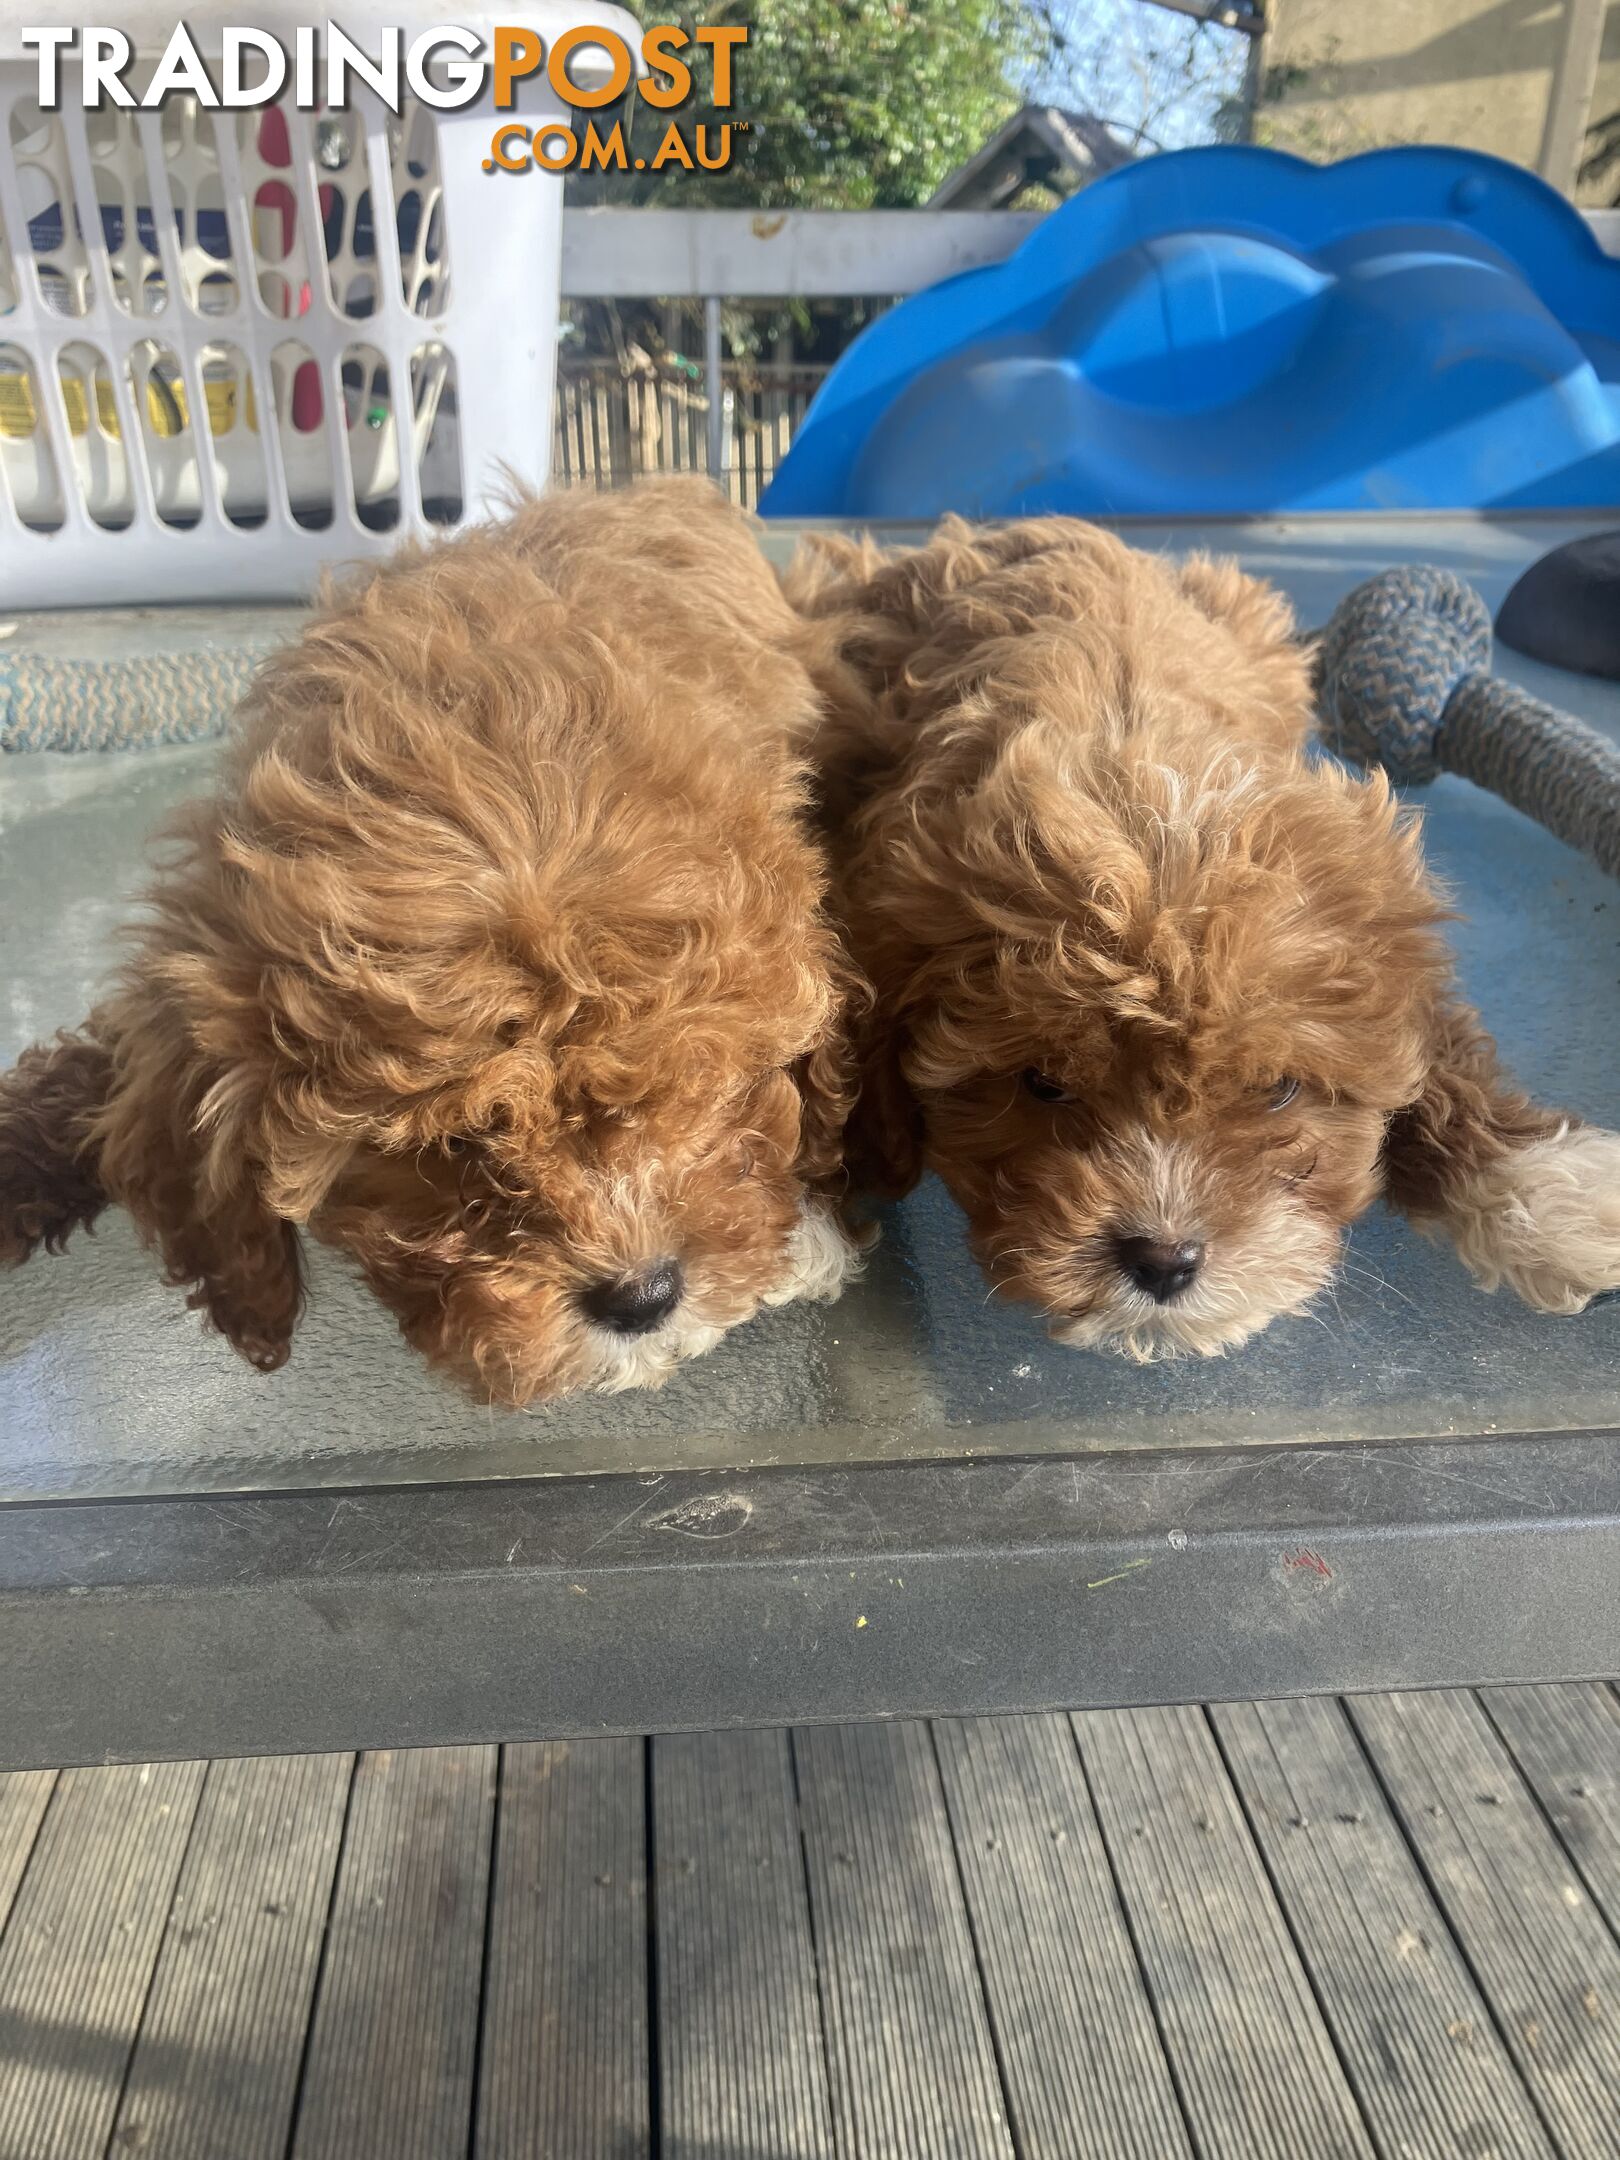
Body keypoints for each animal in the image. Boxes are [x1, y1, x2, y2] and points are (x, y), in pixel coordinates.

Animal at [786, 514, 1620, 1356]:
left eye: (1279, 1088)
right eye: (1042, 1084)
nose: (1163, 1260)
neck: (1136, 765)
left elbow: (1443, 1045)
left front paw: (1544, 1187)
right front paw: (805, 1207)